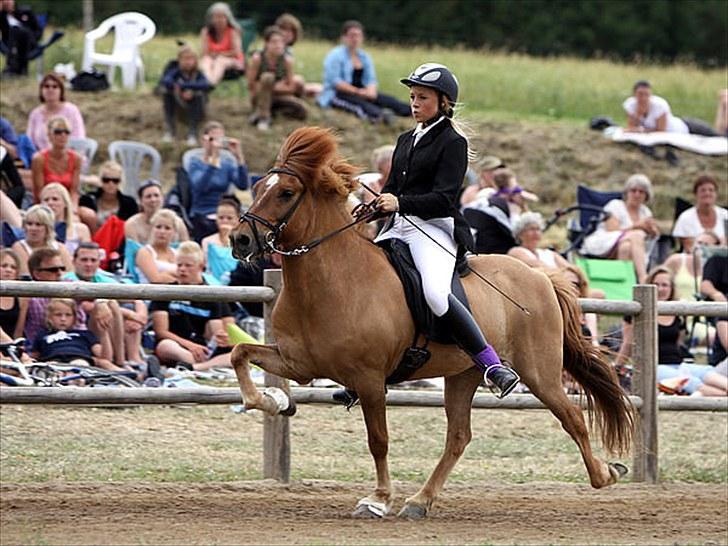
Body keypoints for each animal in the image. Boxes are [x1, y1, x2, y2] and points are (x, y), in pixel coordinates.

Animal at [230, 125, 636, 516]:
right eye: (257, 188)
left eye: (285, 192)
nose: (239, 240)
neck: (331, 282)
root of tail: (541, 276)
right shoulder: (300, 363)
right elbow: (240, 353)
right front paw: (273, 401)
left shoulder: (369, 379)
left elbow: (378, 440)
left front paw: (379, 500)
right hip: (463, 374)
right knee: (459, 437)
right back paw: (419, 502)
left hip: (540, 371)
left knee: (572, 417)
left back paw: (605, 474)